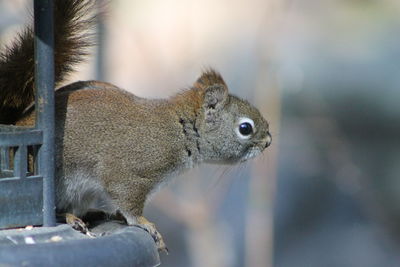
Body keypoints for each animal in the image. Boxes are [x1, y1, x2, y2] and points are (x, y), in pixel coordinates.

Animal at [0, 0, 272, 253]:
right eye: (245, 128)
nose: (268, 142)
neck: (179, 131)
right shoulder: (128, 173)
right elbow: (129, 202)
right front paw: (145, 224)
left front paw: (124, 216)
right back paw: (69, 216)